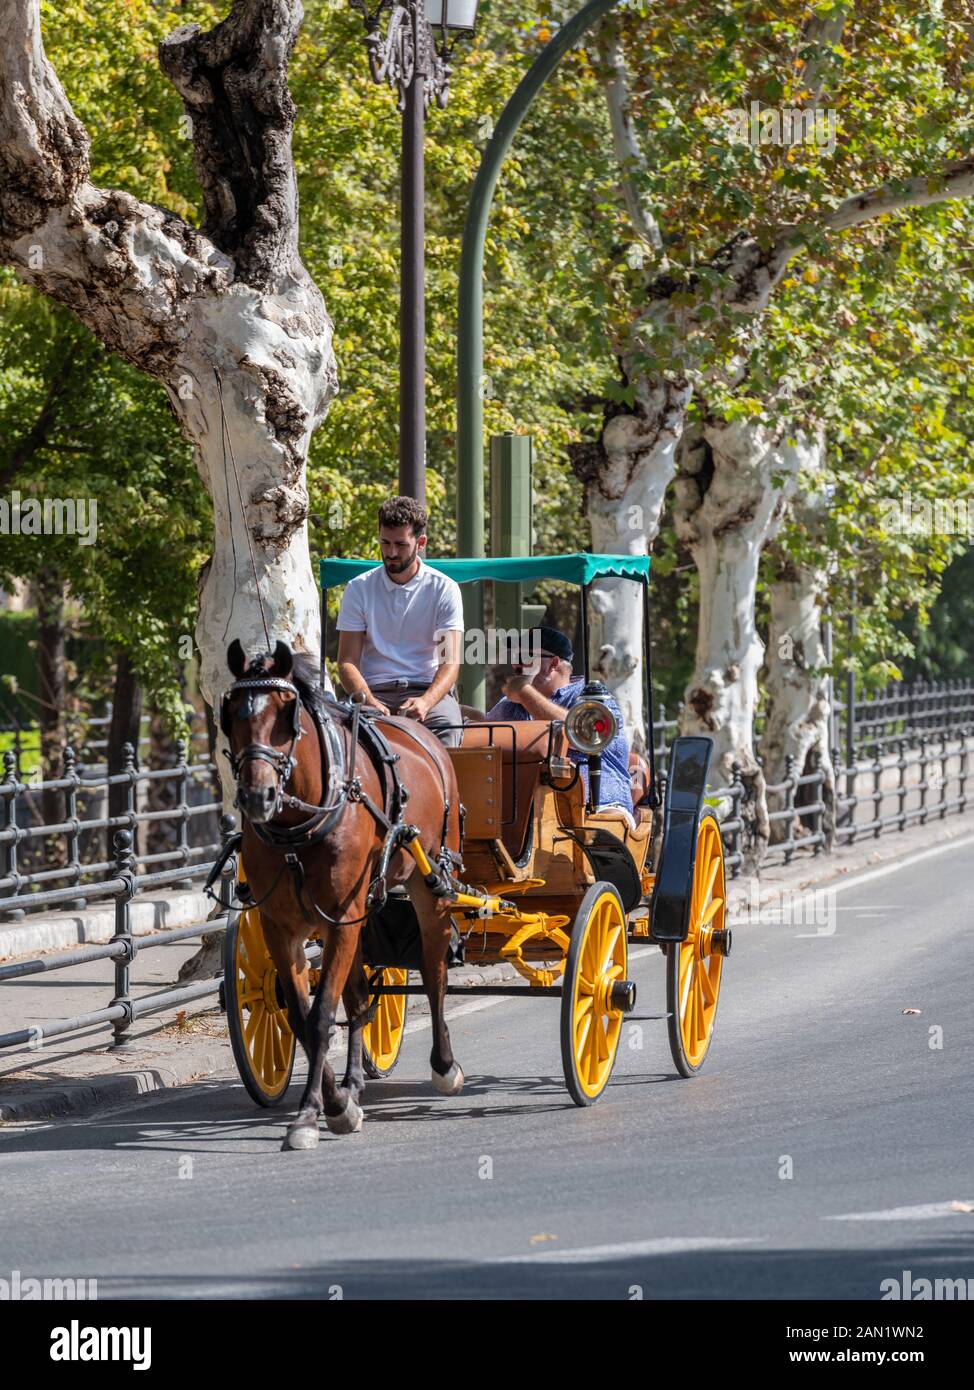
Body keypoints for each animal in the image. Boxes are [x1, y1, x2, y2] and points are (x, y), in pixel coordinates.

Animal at [220, 639, 464, 1150]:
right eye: (229, 713)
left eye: (287, 712)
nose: (257, 796)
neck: (301, 824)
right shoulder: (283, 926)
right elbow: (302, 1016)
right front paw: (334, 1104)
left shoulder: (340, 913)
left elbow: (319, 1016)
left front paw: (314, 1113)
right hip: (358, 915)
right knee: (357, 997)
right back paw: (354, 1083)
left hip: (431, 883)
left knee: (434, 972)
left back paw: (445, 1066)